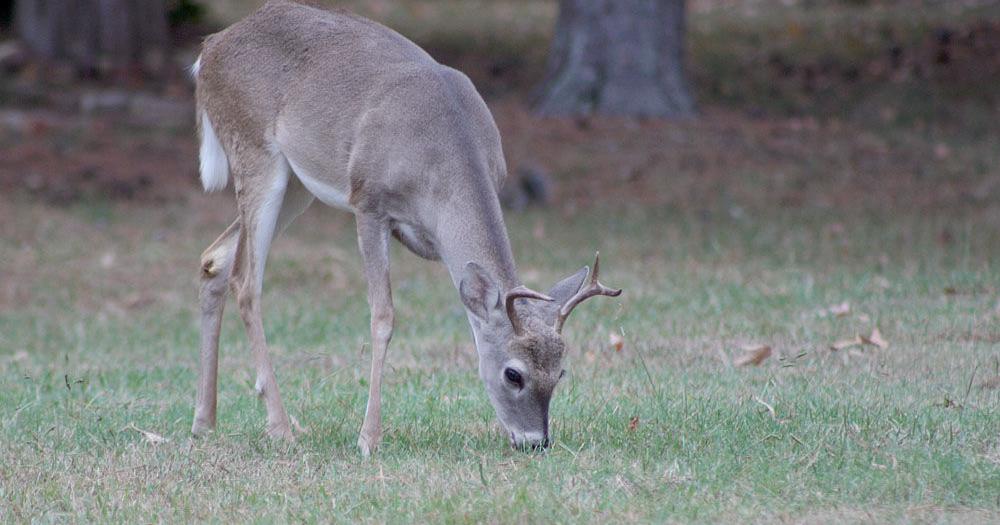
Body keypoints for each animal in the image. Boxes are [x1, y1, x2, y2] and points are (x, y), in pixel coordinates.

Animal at [189, 0, 621, 456]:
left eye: (560, 373)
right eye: (513, 374)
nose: (536, 442)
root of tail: (209, 49)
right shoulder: (368, 202)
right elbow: (383, 316)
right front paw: (368, 438)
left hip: (296, 185)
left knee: (215, 258)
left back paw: (204, 421)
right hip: (255, 150)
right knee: (246, 281)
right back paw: (280, 427)